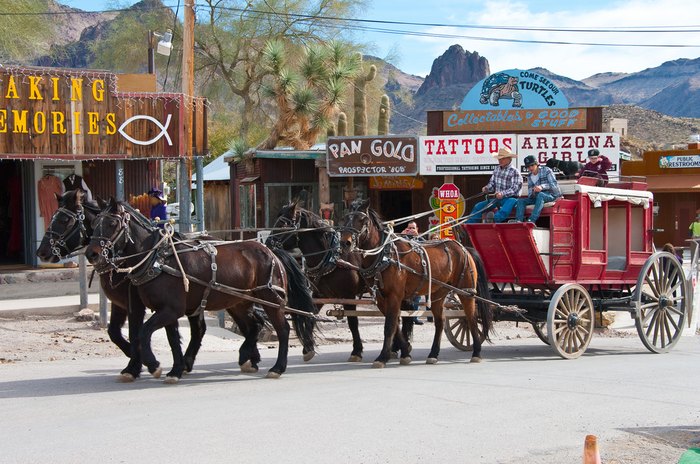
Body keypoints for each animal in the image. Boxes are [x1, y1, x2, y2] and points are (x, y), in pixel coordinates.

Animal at [36, 190, 205, 382]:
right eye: (95, 224)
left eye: (64, 220)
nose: (41, 252)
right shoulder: (119, 304)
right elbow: (114, 332)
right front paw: (134, 359)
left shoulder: (135, 305)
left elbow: (134, 333)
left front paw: (137, 364)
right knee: (199, 328)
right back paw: (186, 363)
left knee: (198, 328)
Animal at [82, 198, 320, 380]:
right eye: (95, 223)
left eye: (112, 223)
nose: (92, 254)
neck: (158, 259)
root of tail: (271, 251)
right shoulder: (165, 310)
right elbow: (171, 339)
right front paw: (174, 370)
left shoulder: (168, 309)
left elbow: (143, 332)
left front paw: (152, 364)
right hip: (238, 302)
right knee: (253, 326)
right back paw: (245, 357)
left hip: (270, 300)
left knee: (283, 329)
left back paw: (277, 367)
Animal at [340, 198, 492, 368]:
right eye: (345, 218)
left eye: (362, 220)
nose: (345, 243)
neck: (384, 256)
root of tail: (464, 249)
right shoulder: (381, 298)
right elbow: (395, 325)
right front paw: (405, 351)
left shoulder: (394, 296)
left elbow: (389, 326)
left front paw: (382, 357)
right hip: (438, 293)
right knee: (440, 321)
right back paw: (433, 354)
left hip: (466, 291)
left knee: (471, 318)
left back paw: (476, 352)